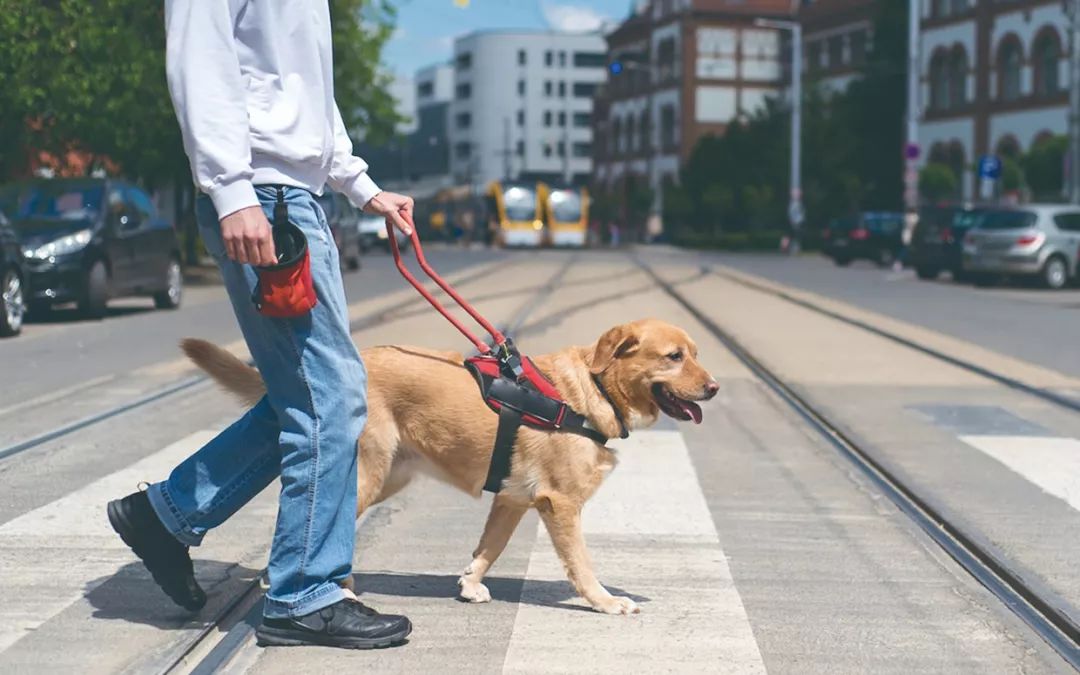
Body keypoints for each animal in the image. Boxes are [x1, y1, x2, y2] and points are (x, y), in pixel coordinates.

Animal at [180, 317, 712, 613]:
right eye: (673, 356)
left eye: (696, 354)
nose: (714, 388)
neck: (592, 390)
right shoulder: (560, 505)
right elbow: (581, 564)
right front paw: (604, 602)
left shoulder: (513, 501)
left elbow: (488, 548)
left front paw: (470, 584)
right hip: (367, 475)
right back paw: (313, 588)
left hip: (388, 477)